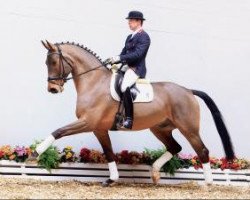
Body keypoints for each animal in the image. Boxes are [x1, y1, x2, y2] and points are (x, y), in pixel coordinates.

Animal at [29, 39, 234, 187]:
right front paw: (111, 179)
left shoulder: (88, 122)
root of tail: (188, 91)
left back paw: (208, 183)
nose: (52, 89)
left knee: (202, 150)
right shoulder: (98, 128)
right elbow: (109, 152)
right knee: (175, 147)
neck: (94, 82)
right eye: (46, 62)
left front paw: (35, 153)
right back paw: (155, 173)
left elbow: (59, 131)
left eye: (53, 61)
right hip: (160, 128)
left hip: (188, 128)